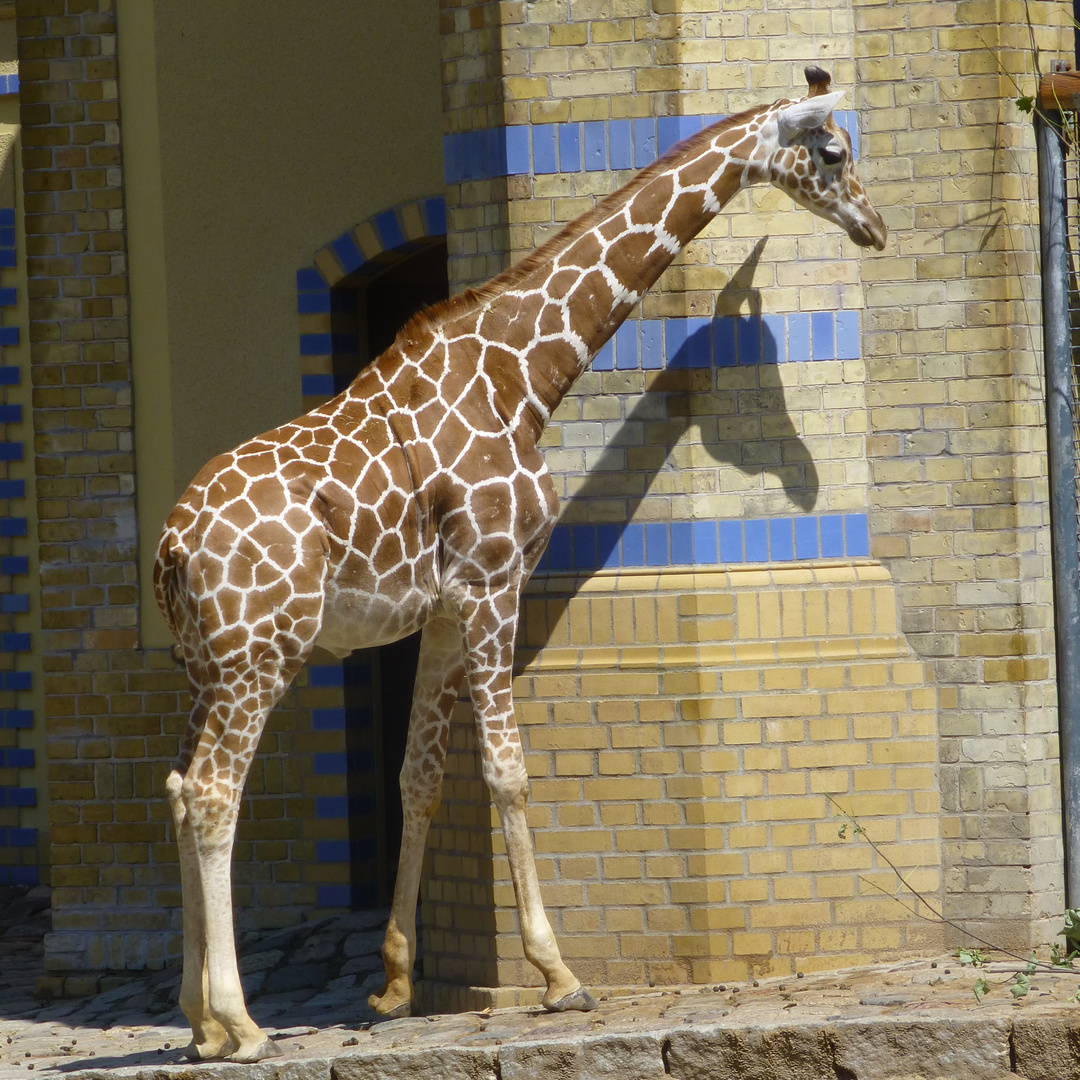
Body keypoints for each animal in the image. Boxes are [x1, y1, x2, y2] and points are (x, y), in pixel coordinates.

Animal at [157, 67, 885, 1062]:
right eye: (834, 150)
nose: (876, 228)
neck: (525, 373)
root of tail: (173, 546)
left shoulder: (436, 609)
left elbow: (420, 776)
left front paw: (394, 982)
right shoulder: (495, 582)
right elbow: (507, 771)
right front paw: (558, 974)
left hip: (204, 668)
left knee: (178, 790)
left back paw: (198, 1026)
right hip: (259, 657)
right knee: (214, 795)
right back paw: (240, 1021)